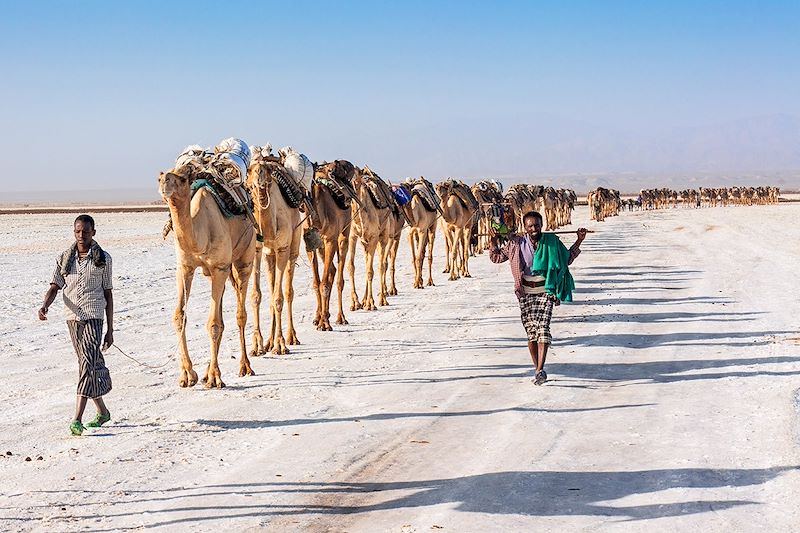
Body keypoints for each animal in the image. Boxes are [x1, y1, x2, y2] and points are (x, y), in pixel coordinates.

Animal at [157, 161, 255, 386]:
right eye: (159, 177)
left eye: (182, 178)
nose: (164, 181)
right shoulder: (185, 268)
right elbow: (180, 316)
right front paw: (187, 375)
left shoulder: (219, 267)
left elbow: (213, 324)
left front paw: (215, 377)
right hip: (218, 272)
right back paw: (207, 371)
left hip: (244, 259)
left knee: (240, 313)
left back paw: (245, 366)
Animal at [247, 148, 304, 356]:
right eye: (249, 170)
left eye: (267, 171)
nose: (259, 178)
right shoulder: (257, 250)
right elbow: (257, 296)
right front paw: (257, 346)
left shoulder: (282, 248)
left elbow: (279, 297)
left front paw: (280, 345)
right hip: (268, 255)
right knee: (272, 289)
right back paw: (269, 342)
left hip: (293, 245)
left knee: (287, 290)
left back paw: (291, 337)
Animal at [308, 160, 354, 330]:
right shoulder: (310, 244)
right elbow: (317, 283)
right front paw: (319, 318)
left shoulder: (330, 240)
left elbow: (324, 283)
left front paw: (324, 324)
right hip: (322, 246)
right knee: (332, 271)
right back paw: (323, 315)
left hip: (344, 234)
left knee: (338, 276)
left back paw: (341, 317)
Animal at [346, 164, 394, 310]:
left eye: (356, 181)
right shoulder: (353, 236)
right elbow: (351, 267)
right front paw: (355, 303)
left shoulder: (373, 238)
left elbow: (370, 271)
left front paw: (371, 303)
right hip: (365, 243)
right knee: (369, 261)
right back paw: (364, 300)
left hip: (383, 237)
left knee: (381, 265)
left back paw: (382, 299)